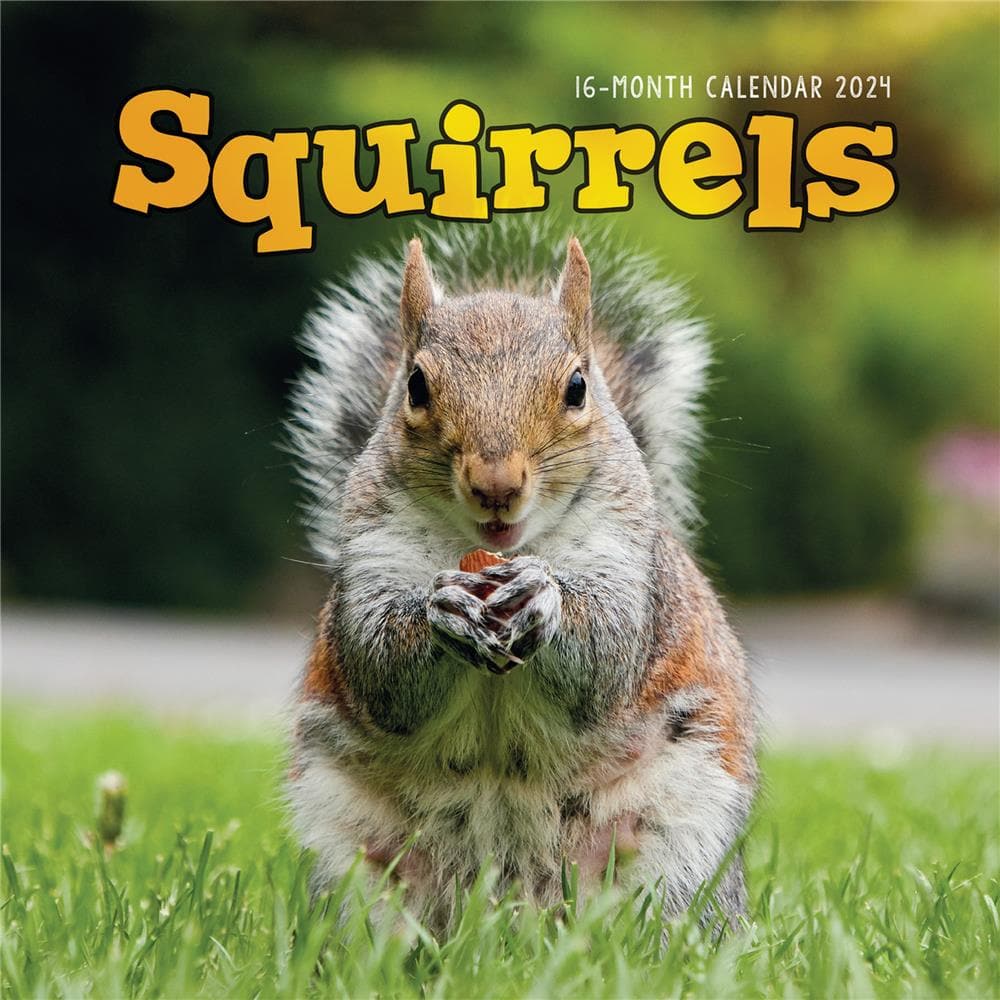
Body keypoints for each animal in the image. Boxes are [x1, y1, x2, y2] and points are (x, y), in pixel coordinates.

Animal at [286, 222, 757, 931]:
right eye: (415, 386)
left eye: (578, 387)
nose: (496, 486)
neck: (491, 551)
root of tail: (509, 912)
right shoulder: (368, 561)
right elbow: (379, 666)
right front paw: (443, 611)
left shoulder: (630, 567)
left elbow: (607, 654)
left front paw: (544, 596)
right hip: (352, 863)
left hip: (681, 848)